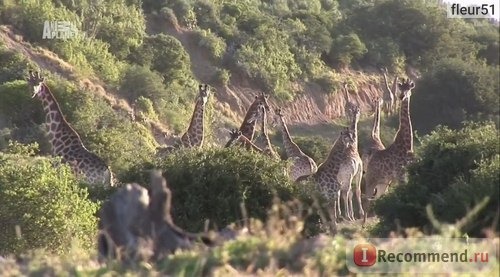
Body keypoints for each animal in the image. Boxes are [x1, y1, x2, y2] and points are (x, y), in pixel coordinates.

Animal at [364, 77, 418, 224]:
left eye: (409, 89)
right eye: (400, 88)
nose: (401, 96)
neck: (406, 144)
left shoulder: (406, 174)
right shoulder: (399, 174)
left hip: (383, 183)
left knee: (376, 199)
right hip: (371, 180)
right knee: (367, 200)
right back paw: (363, 226)